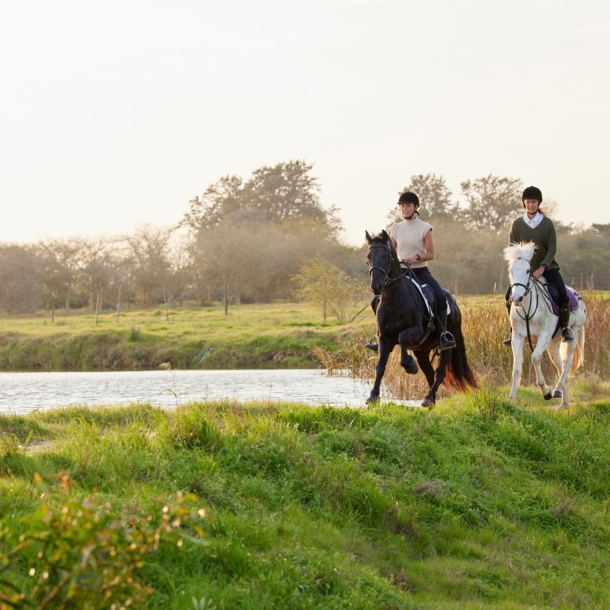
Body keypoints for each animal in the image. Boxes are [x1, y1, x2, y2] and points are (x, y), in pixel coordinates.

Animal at [366, 228, 476, 404]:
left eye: (385, 256)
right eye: (368, 257)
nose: (376, 287)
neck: (394, 299)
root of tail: (454, 304)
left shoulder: (416, 331)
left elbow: (403, 337)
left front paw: (410, 365)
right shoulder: (384, 338)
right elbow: (380, 366)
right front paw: (373, 396)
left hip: (446, 346)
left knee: (440, 372)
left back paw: (429, 398)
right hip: (422, 350)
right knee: (430, 372)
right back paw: (430, 399)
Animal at [504, 240, 584, 406]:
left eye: (528, 271)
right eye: (510, 270)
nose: (516, 298)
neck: (527, 311)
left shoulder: (544, 337)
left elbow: (535, 358)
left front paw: (546, 392)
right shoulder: (518, 338)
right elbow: (516, 367)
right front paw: (513, 397)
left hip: (573, 334)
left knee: (566, 365)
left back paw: (557, 391)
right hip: (553, 344)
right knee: (560, 367)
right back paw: (564, 404)